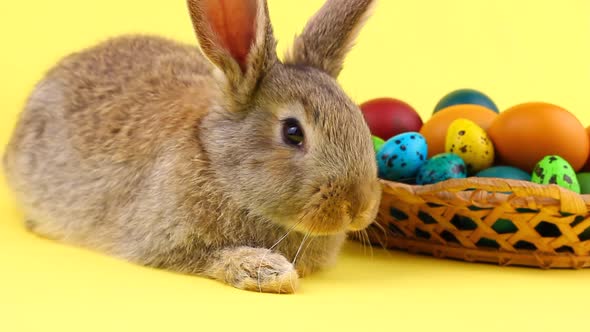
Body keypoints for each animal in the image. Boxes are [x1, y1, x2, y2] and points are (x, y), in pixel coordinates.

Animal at [3, 0, 384, 294]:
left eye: (357, 118)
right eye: (292, 132)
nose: (358, 208)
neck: (218, 164)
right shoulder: (164, 243)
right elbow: (210, 258)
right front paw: (269, 271)